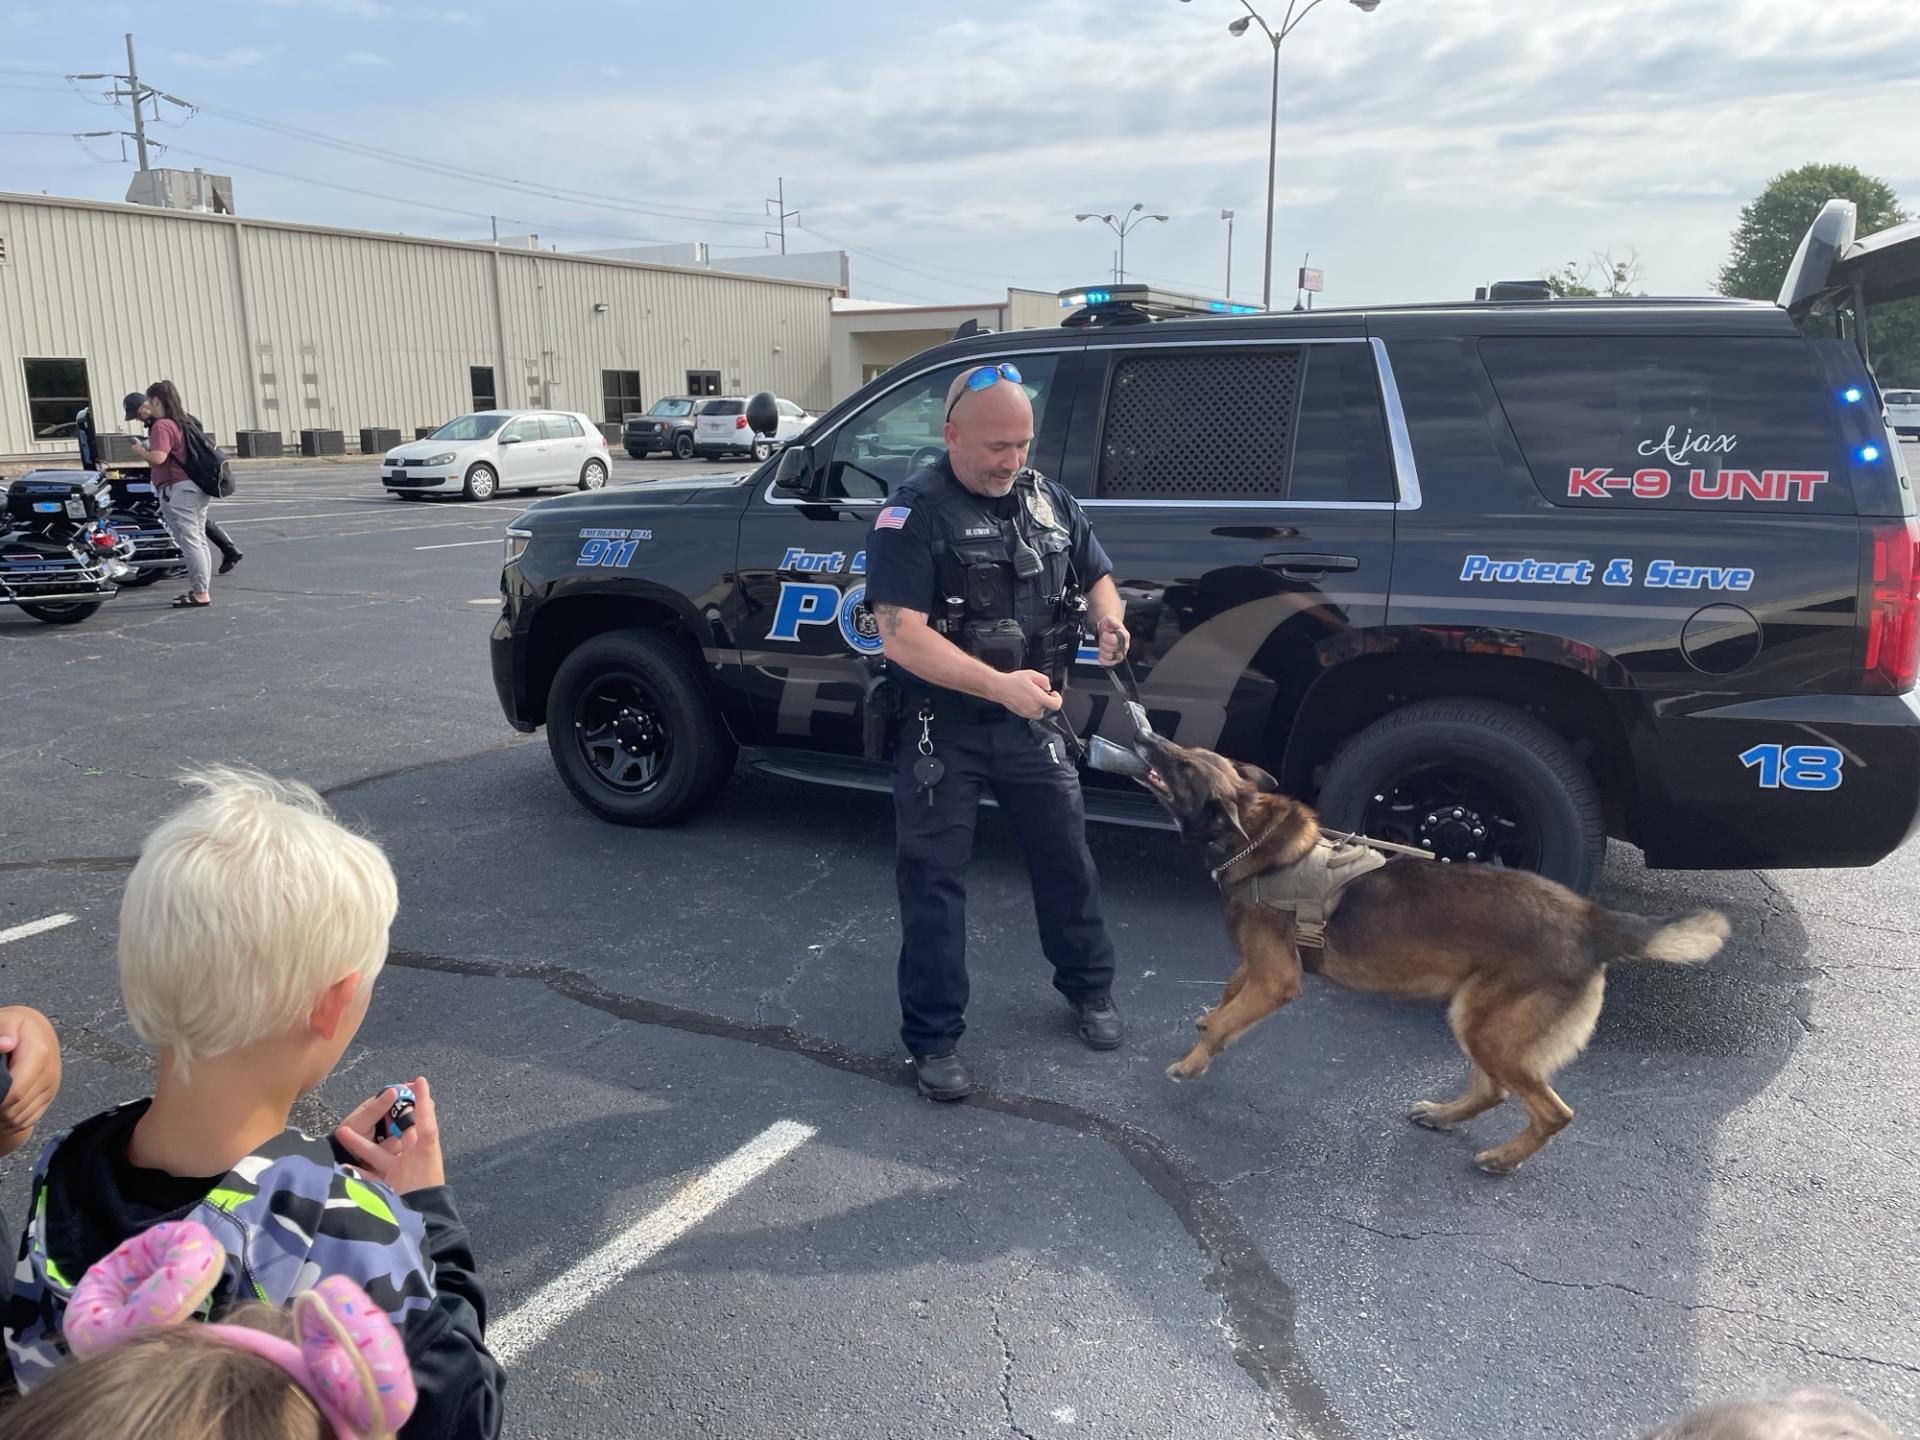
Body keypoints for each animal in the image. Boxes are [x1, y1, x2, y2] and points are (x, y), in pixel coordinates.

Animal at [1128, 733, 1735, 1175]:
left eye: (1183, 765)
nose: (1147, 734)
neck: (1257, 843)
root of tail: (1592, 919)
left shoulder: (1277, 977)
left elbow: (1228, 1016)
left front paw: (1193, 1061)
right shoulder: (1258, 965)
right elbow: (1229, 994)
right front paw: (1210, 1022)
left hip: (1489, 1028)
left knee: (1552, 1111)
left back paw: (1501, 1159)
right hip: (1476, 1021)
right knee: (1493, 1090)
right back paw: (1444, 1115)